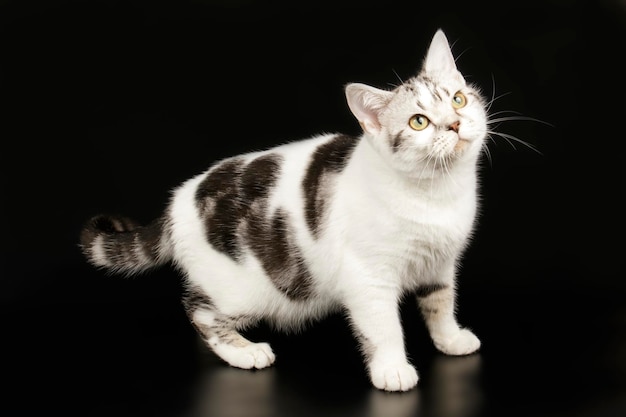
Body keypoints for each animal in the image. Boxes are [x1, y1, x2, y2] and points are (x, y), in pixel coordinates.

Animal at [80, 29, 486, 390]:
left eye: (458, 100)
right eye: (419, 122)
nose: (455, 123)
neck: (437, 193)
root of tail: (177, 203)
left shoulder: (440, 263)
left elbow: (440, 301)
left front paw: (450, 339)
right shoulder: (368, 276)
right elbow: (382, 325)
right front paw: (392, 370)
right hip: (243, 287)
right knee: (199, 311)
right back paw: (244, 352)